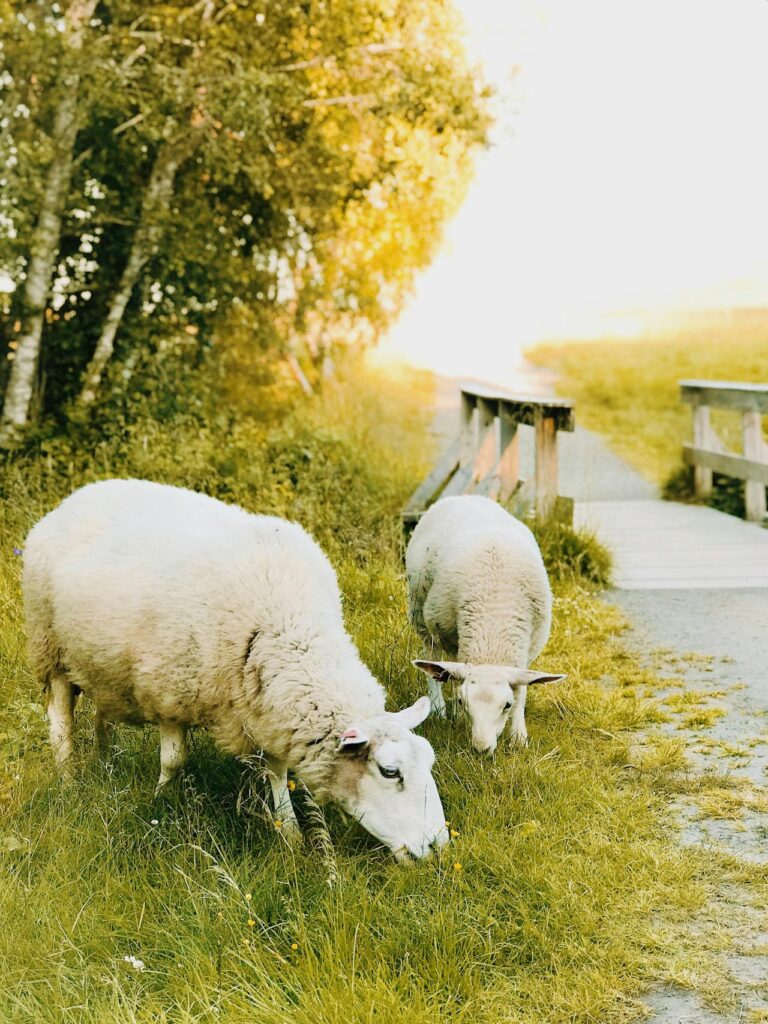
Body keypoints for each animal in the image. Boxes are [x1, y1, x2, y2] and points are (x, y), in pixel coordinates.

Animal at [24, 475, 448, 860]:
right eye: (390, 772)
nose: (437, 846)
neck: (289, 626)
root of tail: (79, 495)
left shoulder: (269, 707)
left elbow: (277, 772)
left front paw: (290, 833)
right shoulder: (170, 689)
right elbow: (173, 760)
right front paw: (161, 802)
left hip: (100, 664)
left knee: (102, 715)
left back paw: (106, 763)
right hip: (50, 647)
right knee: (60, 721)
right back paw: (69, 778)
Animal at [409, 495, 565, 753]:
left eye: (507, 705)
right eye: (463, 701)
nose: (481, 749)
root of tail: (464, 496)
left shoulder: (527, 650)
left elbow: (522, 688)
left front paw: (518, 736)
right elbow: (453, 676)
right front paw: (458, 715)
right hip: (420, 614)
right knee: (432, 657)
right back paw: (439, 708)